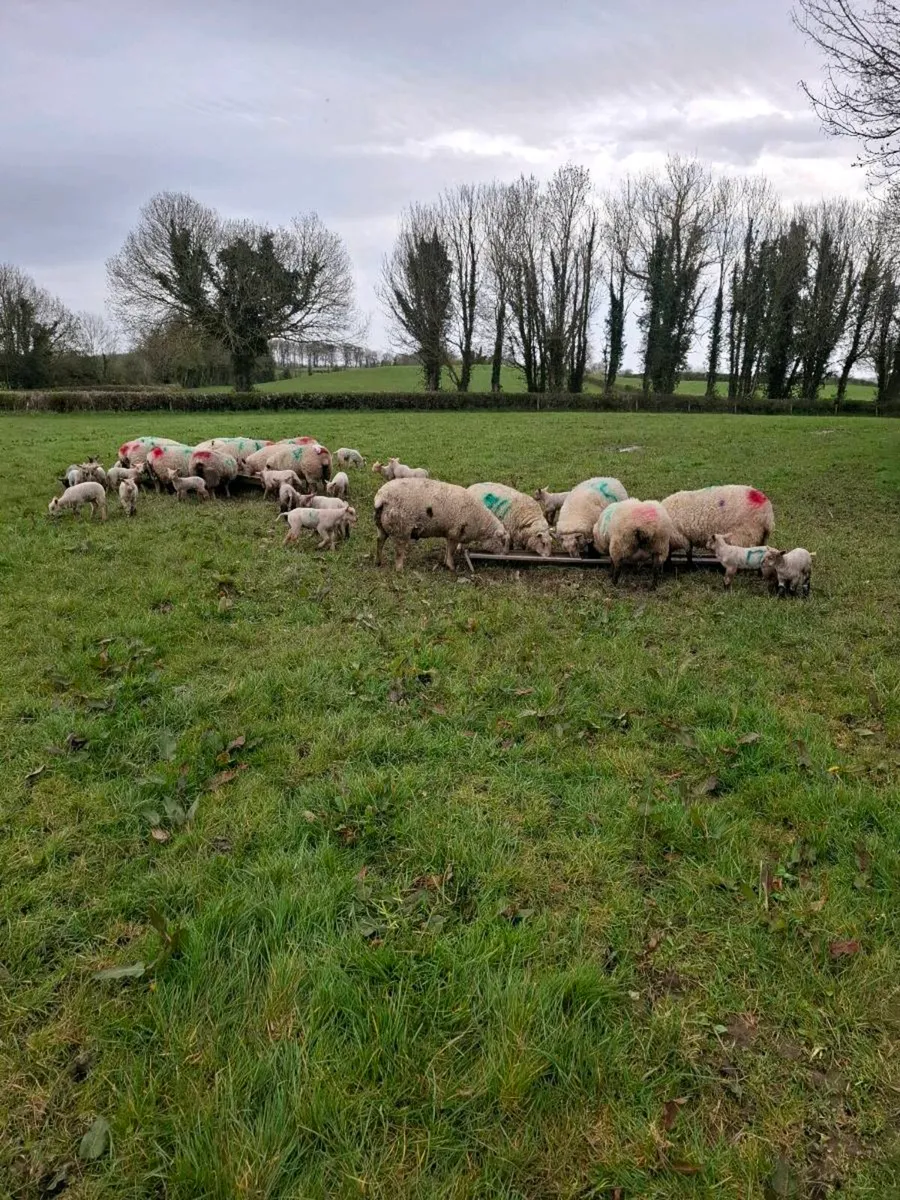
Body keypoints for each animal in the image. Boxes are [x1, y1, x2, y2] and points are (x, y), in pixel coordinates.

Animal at [373, 479, 510, 571]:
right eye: (503, 541)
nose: (506, 555)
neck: (480, 522)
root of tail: (381, 497)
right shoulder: (455, 532)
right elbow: (451, 551)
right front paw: (451, 567)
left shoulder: (449, 533)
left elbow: (448, 549)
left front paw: (446, 563)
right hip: (401, 527)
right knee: (399, 551)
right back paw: (399, 569)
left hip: (381, 525)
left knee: (379, 542)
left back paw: (379, 562)